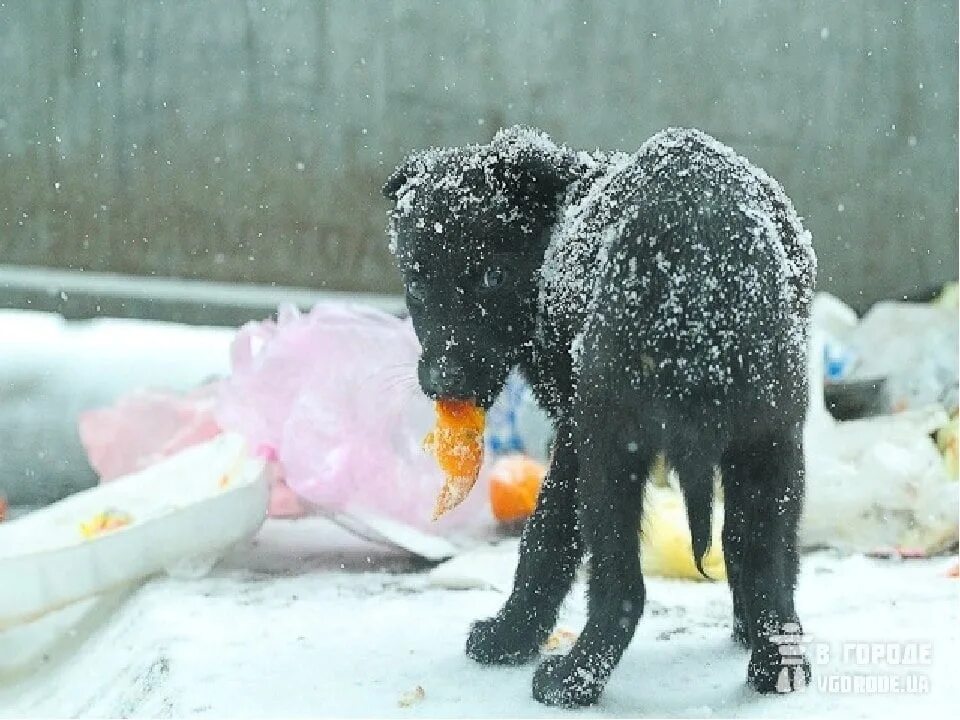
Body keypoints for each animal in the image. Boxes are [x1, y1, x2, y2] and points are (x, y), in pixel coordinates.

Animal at [382, 126, 816, 704]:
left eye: (492, 275)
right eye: (416, 281)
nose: (441, 382)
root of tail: (697, 253)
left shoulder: (571, 434)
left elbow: (546, 538)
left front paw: (508, 637)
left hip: (609, 444)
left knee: (621, 587)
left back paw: (571, 680)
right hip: (772, 440)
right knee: (764, 558)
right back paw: (775, 665)